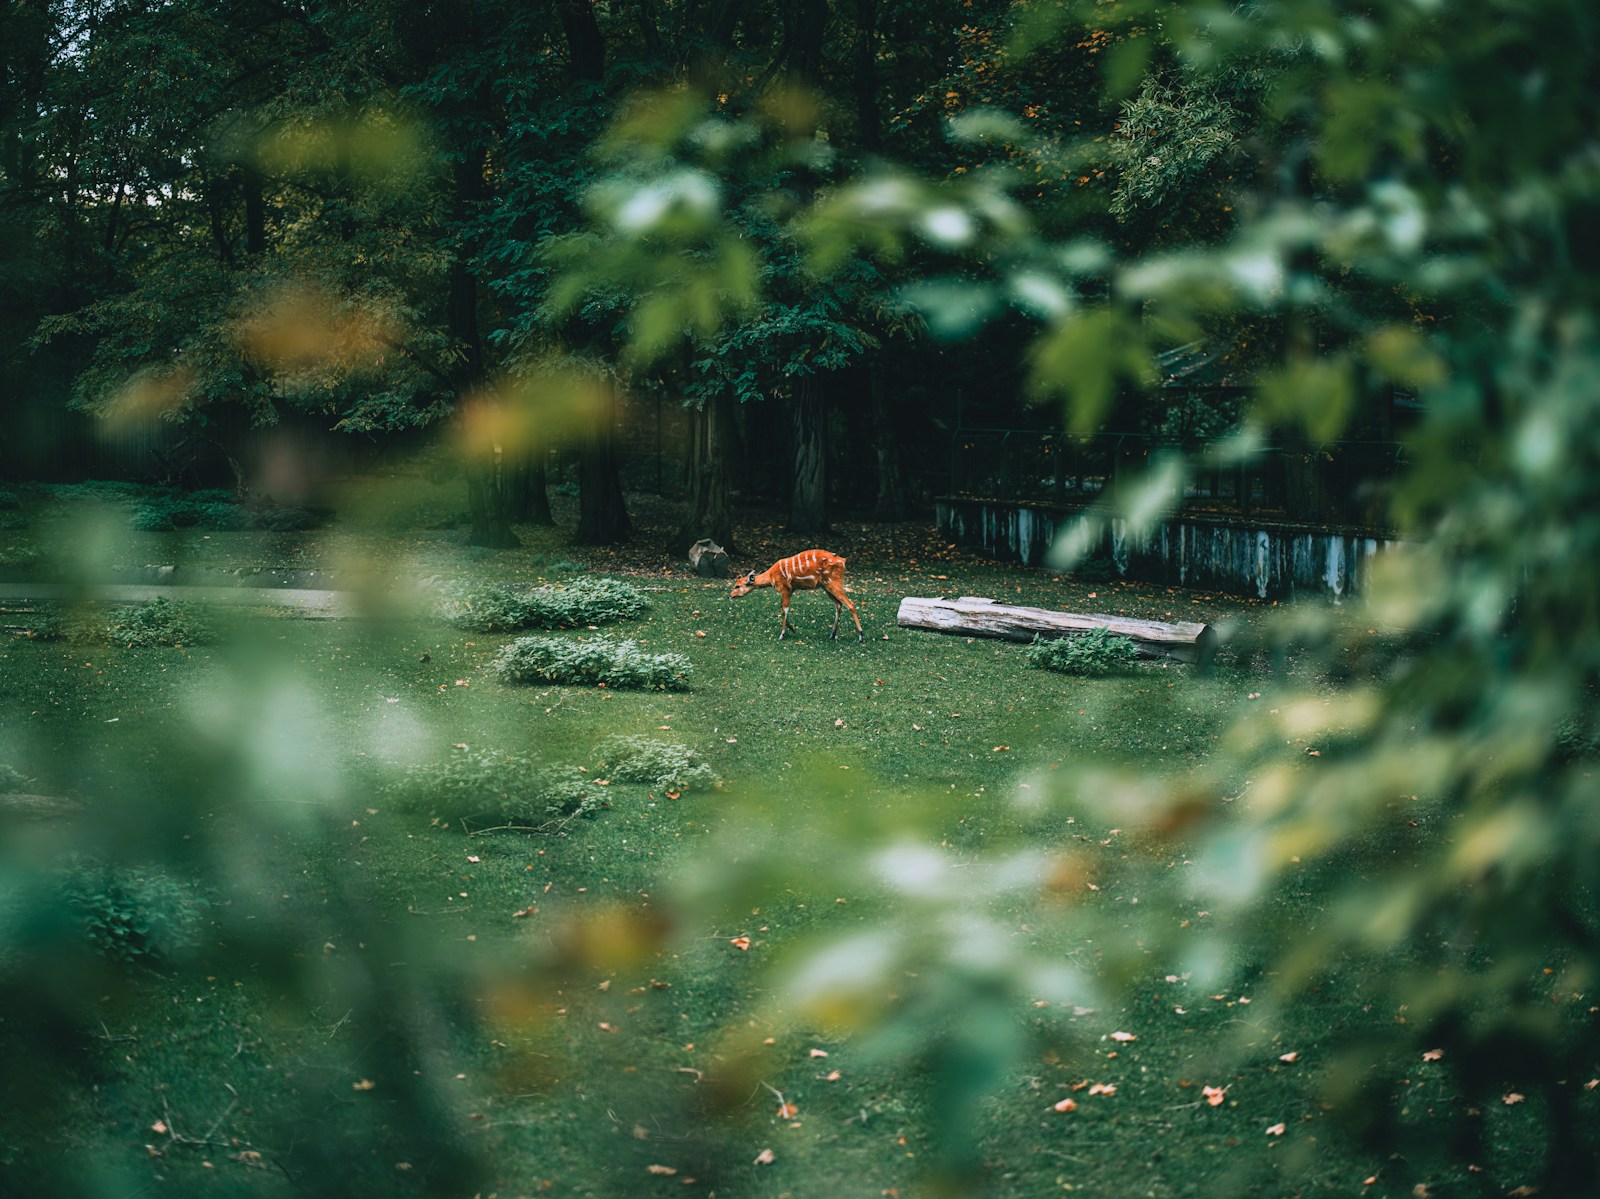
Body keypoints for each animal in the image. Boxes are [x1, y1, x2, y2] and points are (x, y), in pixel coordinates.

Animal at [729, 549, 863, 643]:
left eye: (737, 586)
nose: (729, 596)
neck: (772, 576)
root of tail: (843, 561)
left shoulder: (786, 588)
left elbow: (785, 609)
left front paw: (782, 634)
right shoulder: (791, 590)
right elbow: (782, 609)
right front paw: (792, 629)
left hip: (833, 582)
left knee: (850, 604)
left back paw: (860, 636)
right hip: (826, 587)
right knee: (839, 605)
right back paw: (832, 635)